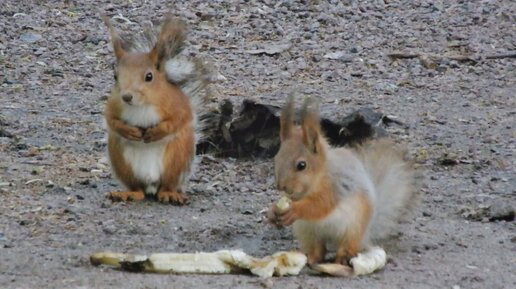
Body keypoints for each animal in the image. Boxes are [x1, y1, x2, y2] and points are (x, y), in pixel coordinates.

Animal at [103, 15, 212, 204]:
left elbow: (178, 120)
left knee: (167, 185)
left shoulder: (178, 105)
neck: (142, 104)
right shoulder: (112, 105)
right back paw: (128, 193)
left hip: (177, 158)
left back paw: (169, 194)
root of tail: (151, 184)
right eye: (115, 76)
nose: (127, 97)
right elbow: (111, 120)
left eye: (149, 76)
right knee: (138, 189)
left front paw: (157, 132)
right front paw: (128, 130)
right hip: (122, 162)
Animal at [268, 96, 418, 264]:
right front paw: (272, 212)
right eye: (276, 158)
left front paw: (295, 209)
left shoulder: (335, 187)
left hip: (353, 229)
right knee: (318, 250)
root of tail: (367, 233)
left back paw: (341, 260)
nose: (281, 186)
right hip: (307, 230)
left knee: (348, 247)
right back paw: (310, 258)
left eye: (302, 165)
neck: (318, 177)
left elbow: (319, 205)